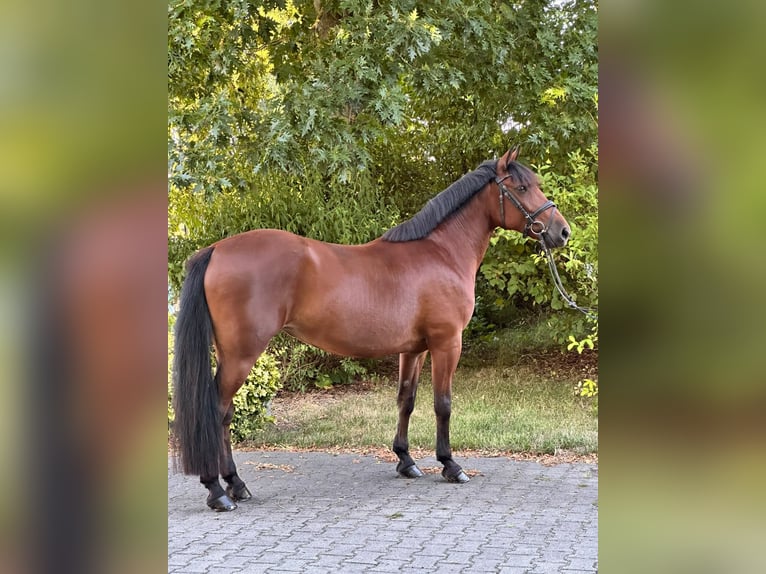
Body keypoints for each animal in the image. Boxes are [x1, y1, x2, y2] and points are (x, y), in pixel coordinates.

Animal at [172, 147, 571, 511]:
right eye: (522, 187)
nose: (563, 232)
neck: (441, 253)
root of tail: (215, 249)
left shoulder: (414, 348)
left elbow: (406, 400)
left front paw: (406, 461)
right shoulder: (447, 343)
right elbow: (443, 404)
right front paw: (450, 465)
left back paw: (235, 485)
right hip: (241, 354)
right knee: (218, 411)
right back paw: (219, 491)